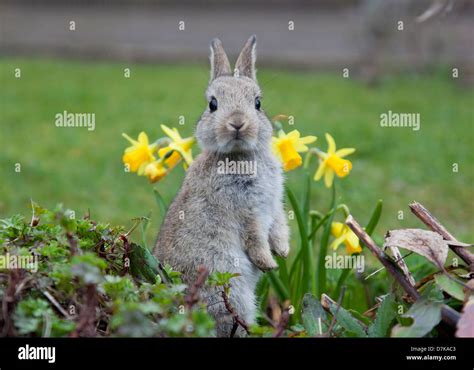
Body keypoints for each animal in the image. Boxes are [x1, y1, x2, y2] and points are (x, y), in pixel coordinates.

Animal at [154, 36, 290, 336]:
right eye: (213, 104)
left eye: (258, 103)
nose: (237, 123)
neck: (240, 156)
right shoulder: (246, 212)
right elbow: (255, 238)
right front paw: (270, 264)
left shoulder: (273, 203)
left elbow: (279, 226)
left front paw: (284, 252)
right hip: (227, 287)